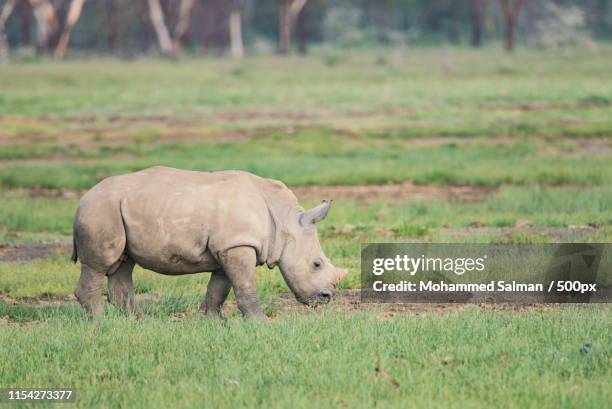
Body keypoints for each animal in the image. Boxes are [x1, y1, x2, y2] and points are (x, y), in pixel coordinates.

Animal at [71, 166, 346, 318]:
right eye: (317, 264)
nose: (326, 297)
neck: (285, 220)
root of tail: (83, 199)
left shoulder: (227, 246)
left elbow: (218, 290)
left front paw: (215, 323)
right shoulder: (238, 244)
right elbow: (246, 287)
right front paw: (258, 324)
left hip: (117, 210)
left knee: (123, 264)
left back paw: (140, 324)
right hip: (100, 209)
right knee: (98, 265)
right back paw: (100, 323)